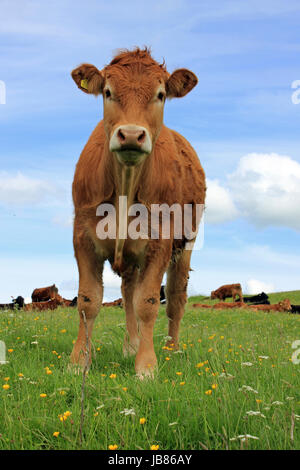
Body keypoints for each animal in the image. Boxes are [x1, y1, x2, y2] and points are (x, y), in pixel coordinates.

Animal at [69, 46, 206, 378]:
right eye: (108, 92)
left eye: (160, 95)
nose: (131, 134)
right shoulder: (83, 237)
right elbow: (89, 300)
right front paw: (79, 362)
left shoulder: (160, 241)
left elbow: (148, 302)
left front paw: (146, 365)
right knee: (128, 291)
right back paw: (130, 345)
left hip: (186, 245)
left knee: (176, 299)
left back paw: (170, 350)